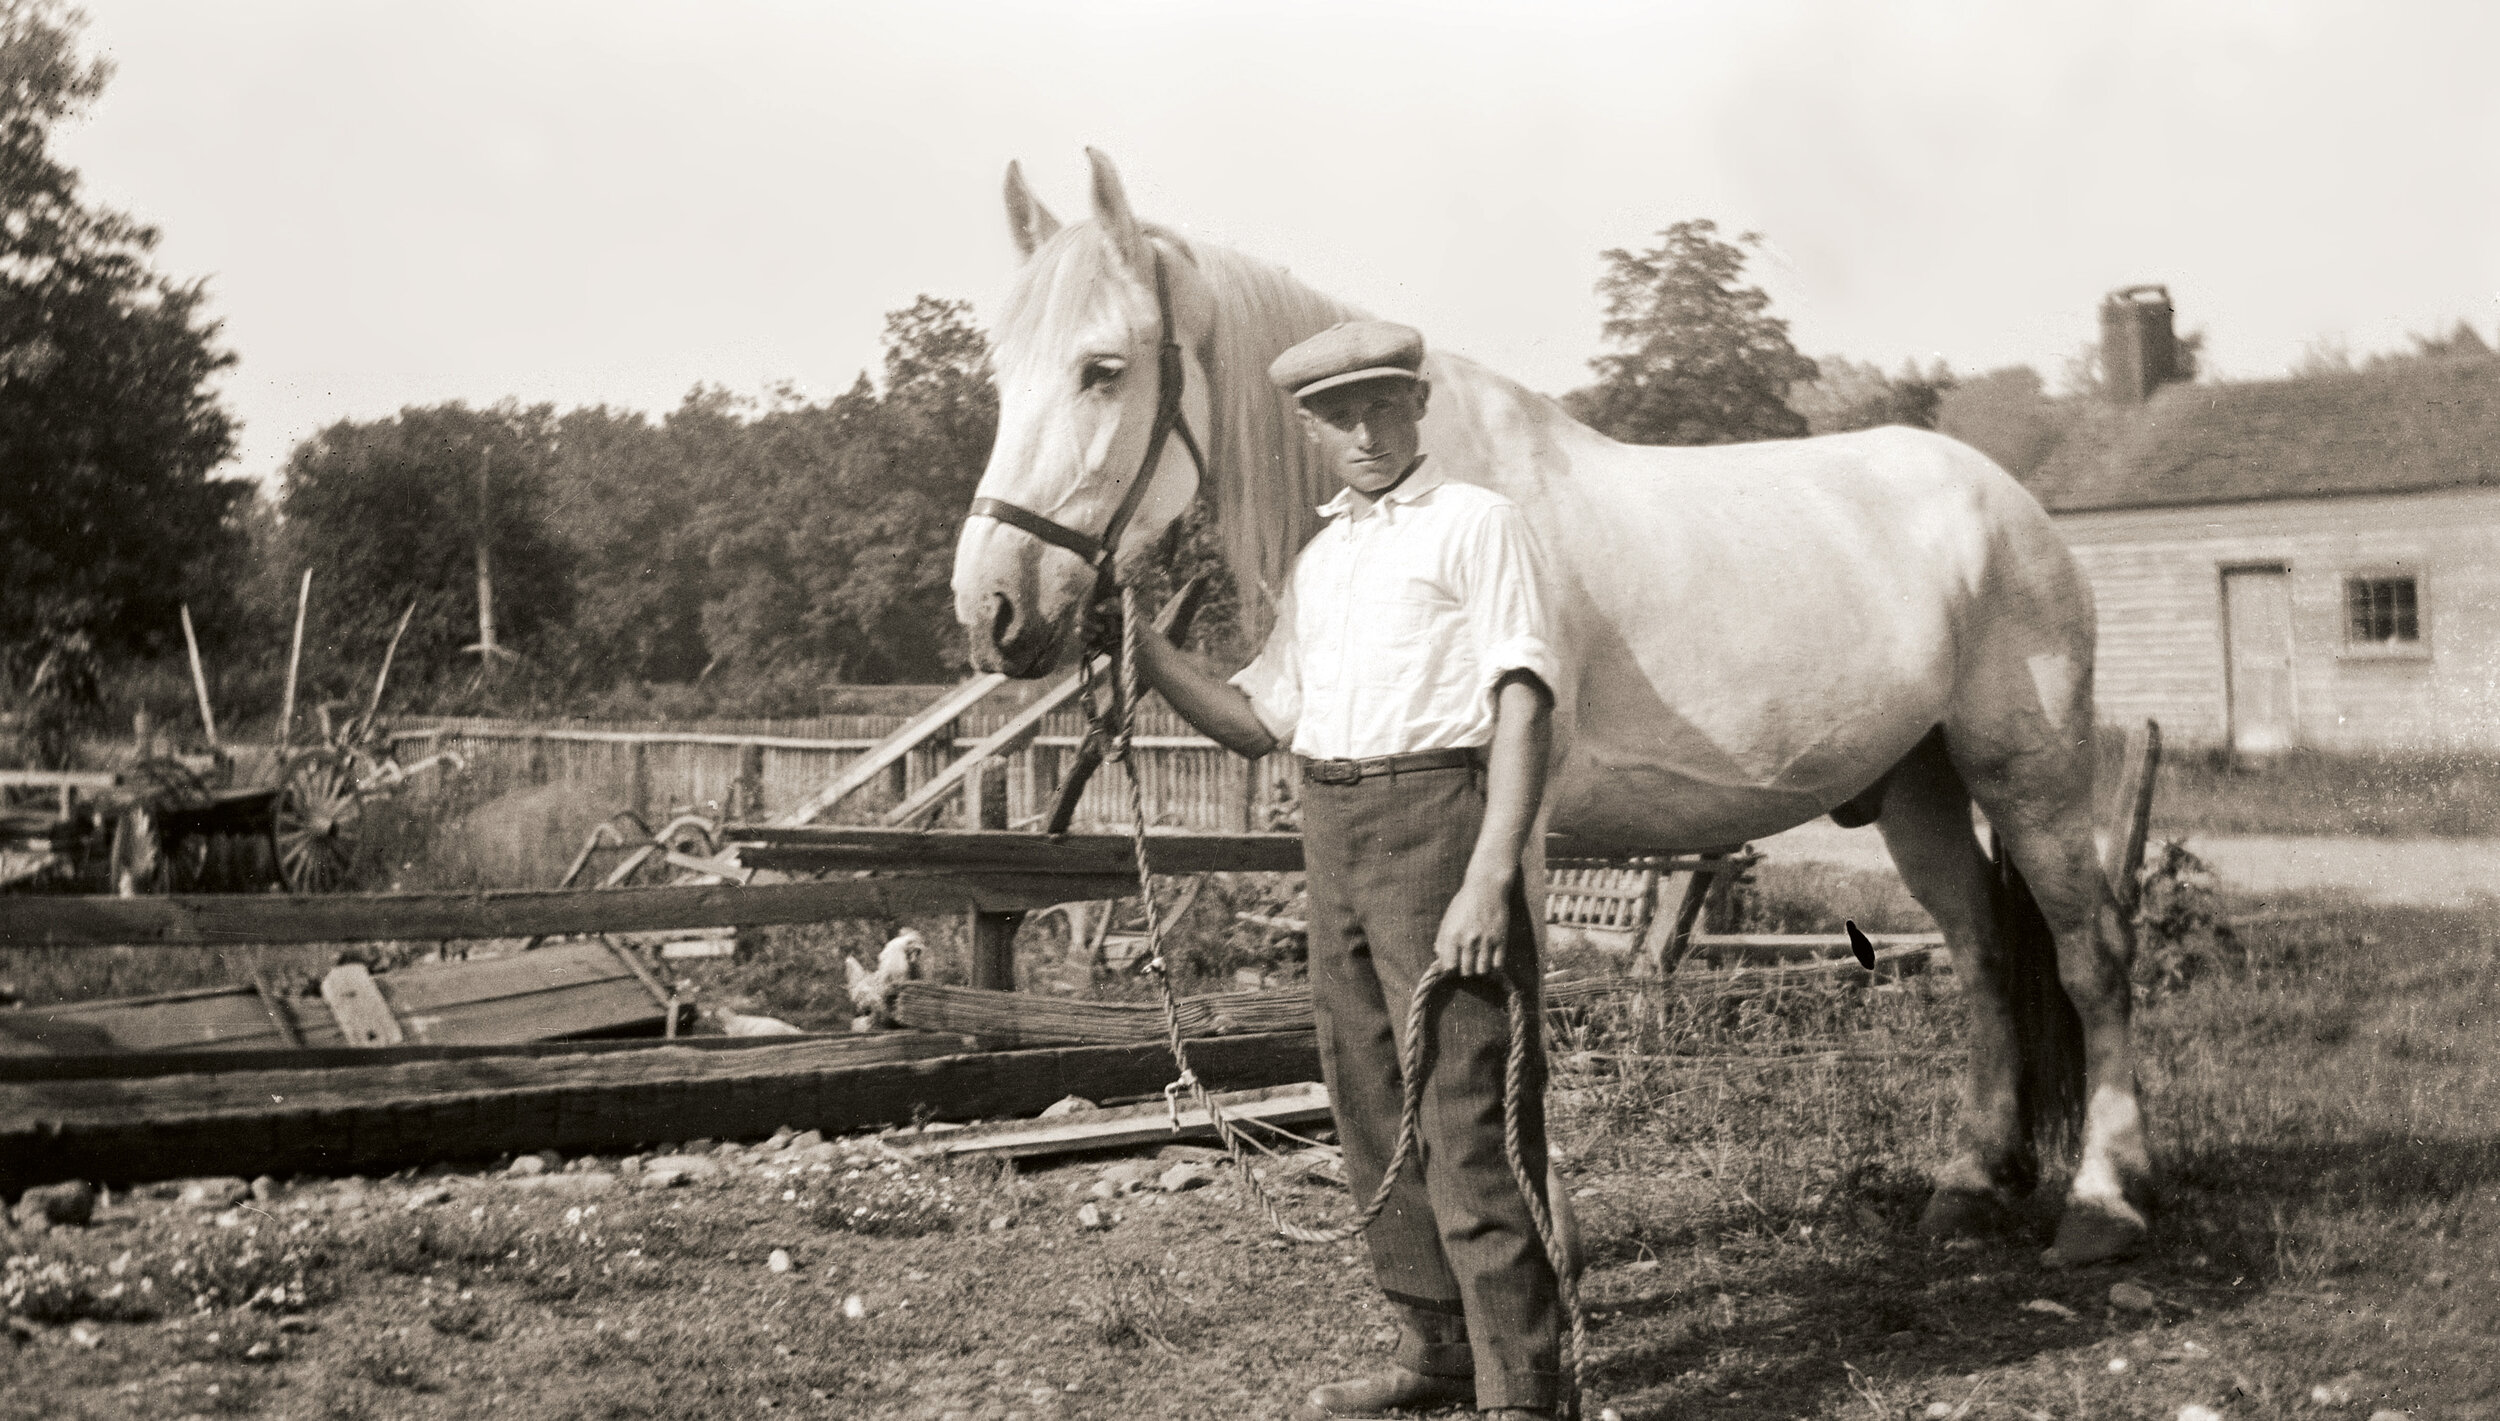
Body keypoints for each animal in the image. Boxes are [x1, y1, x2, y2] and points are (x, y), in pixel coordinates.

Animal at [945, 152, 2160, 1265]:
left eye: (1102, 368)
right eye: (1003, 373)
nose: (994, 608)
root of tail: (2009, 501)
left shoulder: (1507, 825)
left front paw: (1548, 1236)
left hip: (2029, 774)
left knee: (2090, 951)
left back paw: (2102, 1203)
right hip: (1918, 790)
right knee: (1984, 956)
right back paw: (1969, 1185)